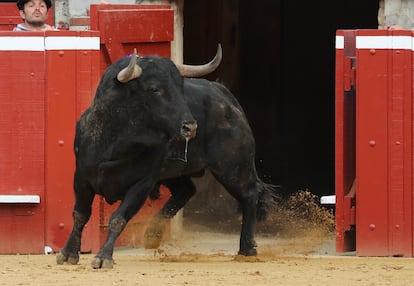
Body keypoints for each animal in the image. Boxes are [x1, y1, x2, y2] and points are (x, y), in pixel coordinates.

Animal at [56, 44, 276, 268]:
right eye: (154, 89)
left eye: (180, 88)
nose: (190, 127)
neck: (115, 141)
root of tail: (226, 96)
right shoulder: (81, 178)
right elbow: (80, 215)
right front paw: (68, 254)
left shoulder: (141, 184)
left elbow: (118, 218)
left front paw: (103, 257)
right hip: (176, 172)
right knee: (186, 190)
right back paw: (153, 234)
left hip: (233, 167)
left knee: (249, 195)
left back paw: (247, 249)